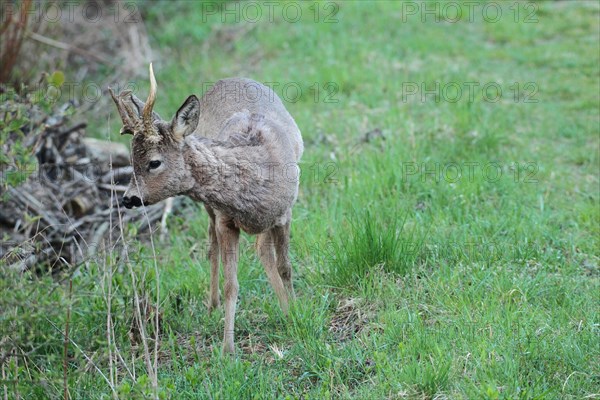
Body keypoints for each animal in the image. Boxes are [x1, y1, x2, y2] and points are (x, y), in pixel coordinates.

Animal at [108, 63, 302, 354]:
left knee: (261, 250)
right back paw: (212, 305)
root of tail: (227, 79)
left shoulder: (283, 213)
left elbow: (285, 266)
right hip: (211, 210)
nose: (128, 198)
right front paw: (227, 347)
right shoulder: (226, 220)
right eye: (131, 160)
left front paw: (295, 311)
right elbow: (231, 284)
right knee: (213, 246)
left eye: (154, 162)